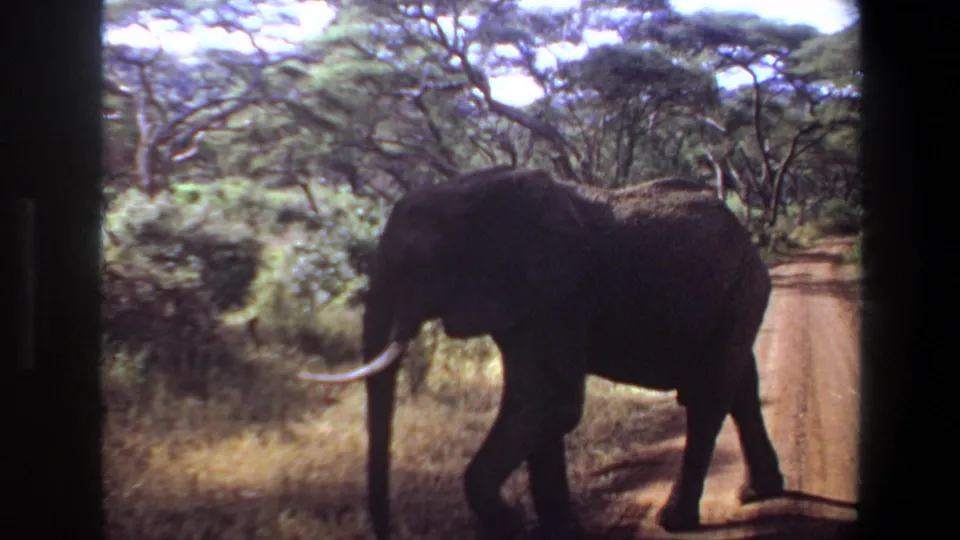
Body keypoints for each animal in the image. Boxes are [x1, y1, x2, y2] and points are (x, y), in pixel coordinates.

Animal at [298, 165, 784, 539]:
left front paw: (509, 523)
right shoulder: (522, 301)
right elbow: (537, 405)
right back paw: (758, 493)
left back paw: (676, 520)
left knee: (708, 396)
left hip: (741, 289)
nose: (387, 531)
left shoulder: (562, 294)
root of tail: (745, 234)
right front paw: (558, 531)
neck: (472, 187)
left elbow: (551, 402)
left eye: (417, 264)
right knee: (742, 387)